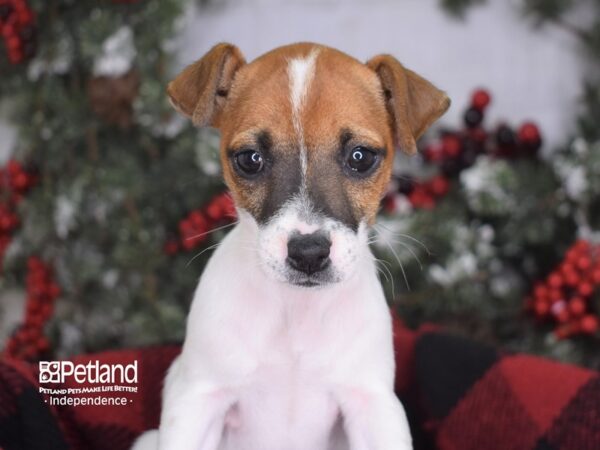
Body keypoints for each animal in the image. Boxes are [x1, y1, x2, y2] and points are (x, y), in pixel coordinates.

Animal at [132, 42, 450, 450]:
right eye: (250, 159)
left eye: (361, 156)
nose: (308, 253)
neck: (296, 311)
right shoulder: (196, 399)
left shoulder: (373, 406)